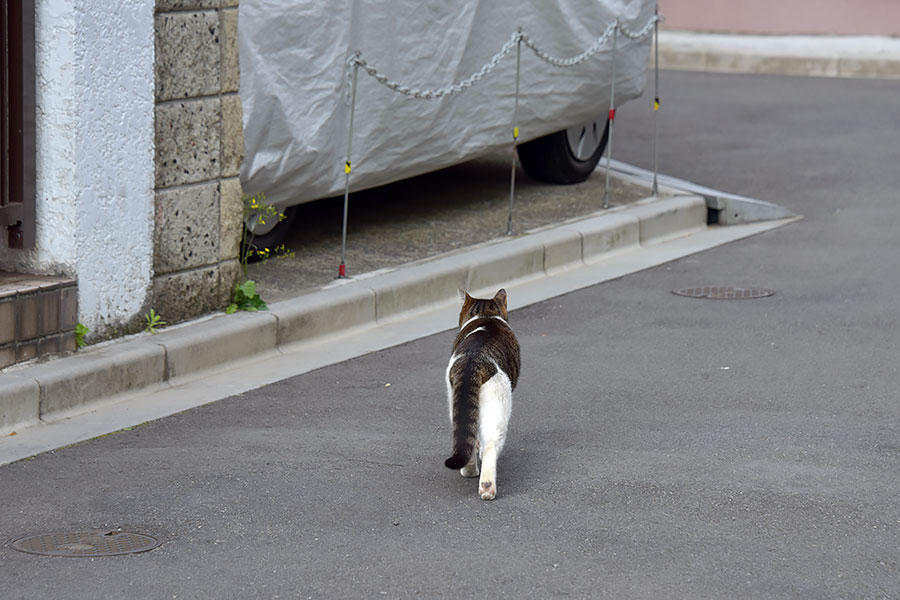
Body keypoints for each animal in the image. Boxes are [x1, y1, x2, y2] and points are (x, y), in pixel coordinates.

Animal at [442, 288, 520, 500]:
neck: (486, 315)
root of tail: (474, 360)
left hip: (456, 402)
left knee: (465, 437)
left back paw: (469, 471)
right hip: (498, 407)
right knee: (489, 446)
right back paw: (486, 486)